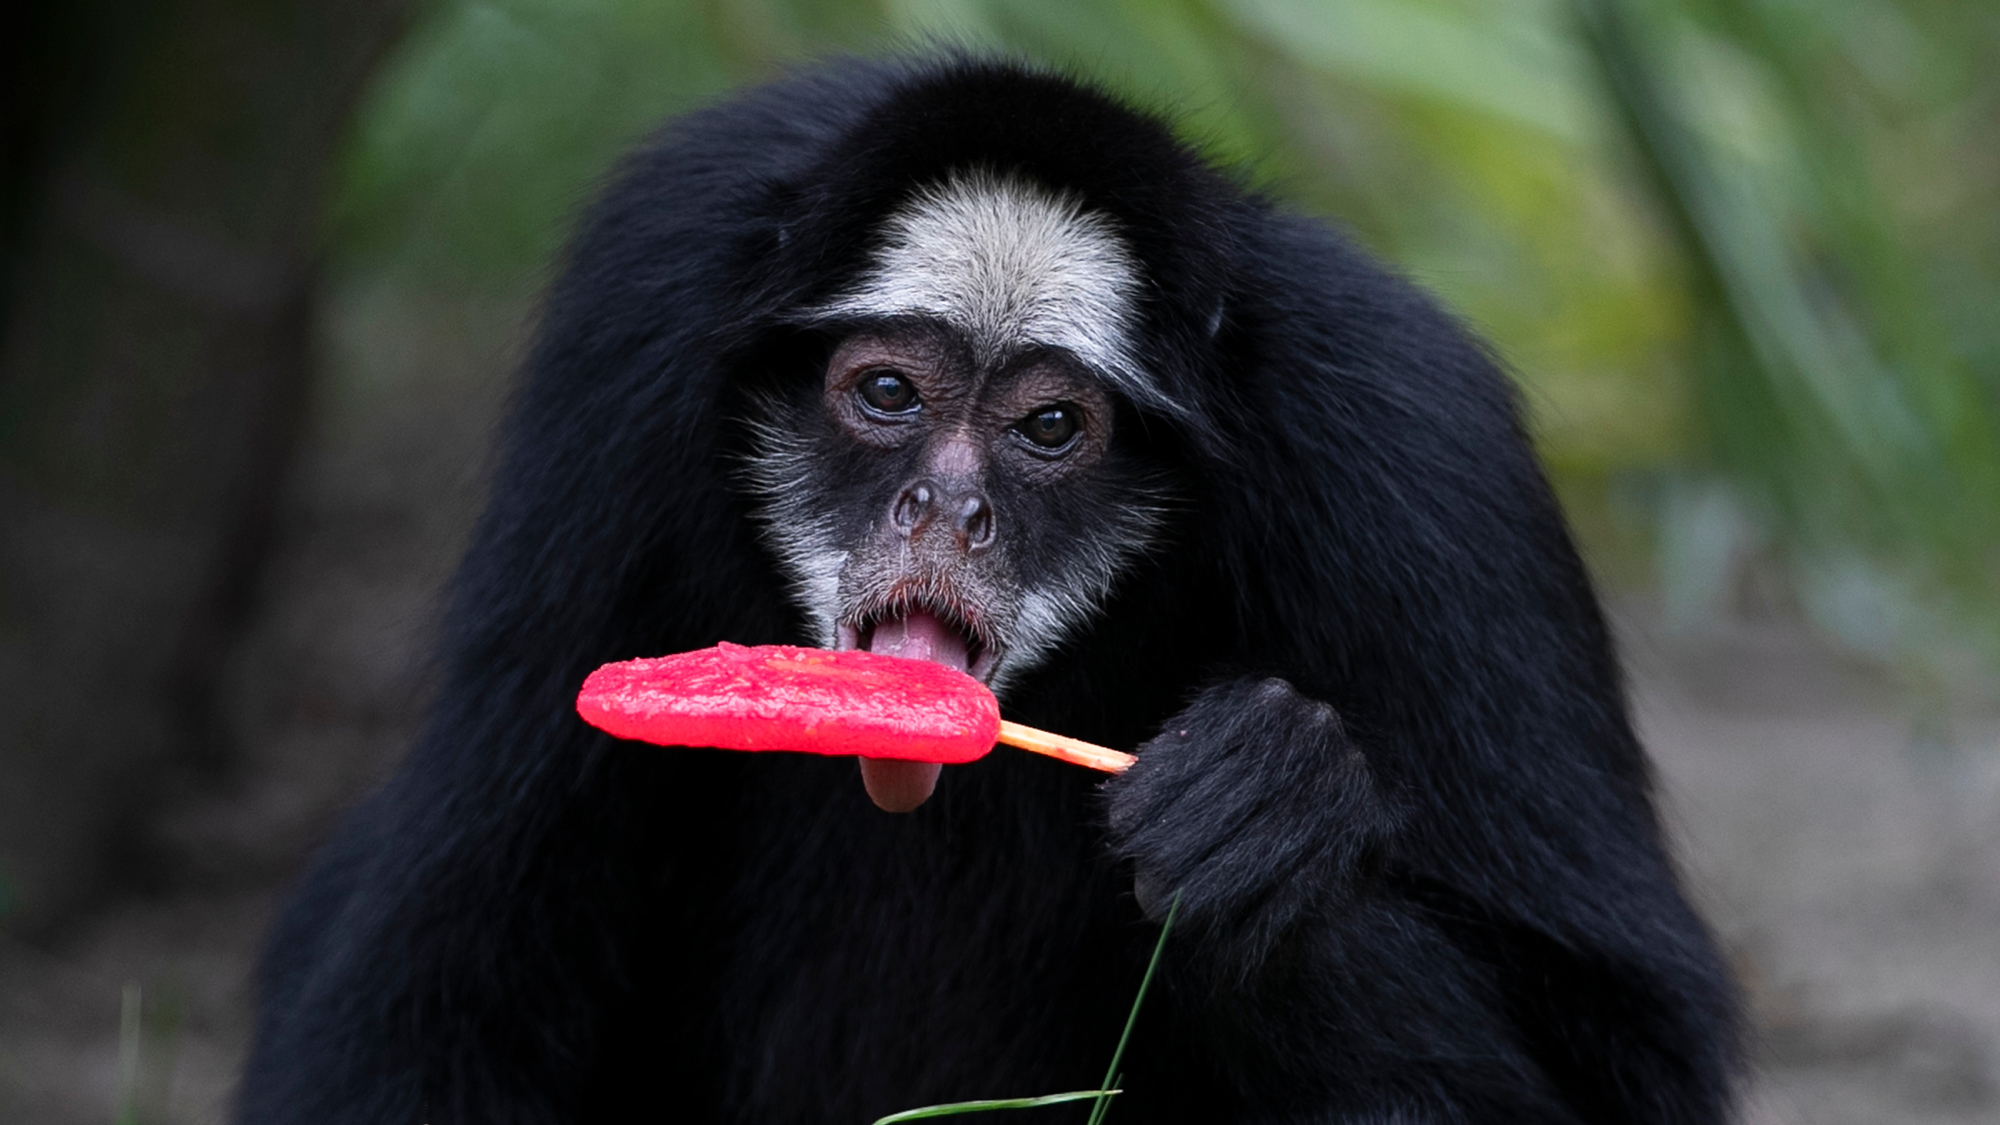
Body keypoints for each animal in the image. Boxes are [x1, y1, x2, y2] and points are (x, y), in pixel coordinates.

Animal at [239, 56, 1741, 1124]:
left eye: (1050, 428)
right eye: (889, 397)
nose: (947, 510)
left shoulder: (1407, 435)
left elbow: (1637, 1043)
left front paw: (1276, 809)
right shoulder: (647, 296)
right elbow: (452, 937)